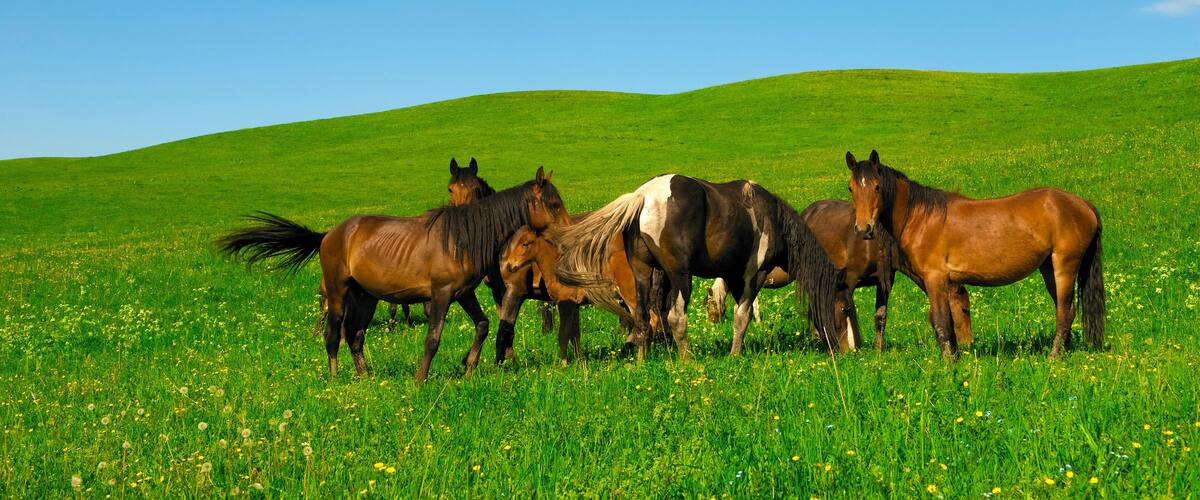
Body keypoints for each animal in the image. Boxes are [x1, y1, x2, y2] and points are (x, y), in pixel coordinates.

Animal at [219, 167, 569, 382]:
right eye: (553, 203)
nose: (568, 232)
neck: (463, 237)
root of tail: (329, 234)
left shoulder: (464, 294)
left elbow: (483, 325)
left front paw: (468, 368)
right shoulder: (440, 295)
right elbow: (433, 337)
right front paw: (420, 378)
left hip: (365, 297)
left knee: (355, 335)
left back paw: (365, 376)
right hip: (337, 292)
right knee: (333, 333)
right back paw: (334, 377)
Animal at [554, 175, 844, 359]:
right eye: (844, 309)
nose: (846, 349)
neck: (770, 216)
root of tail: (642, 196)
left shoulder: (730, 276)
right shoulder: (752, 275)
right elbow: (743, 316)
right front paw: (734, 356)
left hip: (642, 273)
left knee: (643, 318)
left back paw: (640, 362)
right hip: (680, 276)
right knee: (675, 317)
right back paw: (687, 360)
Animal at [845, 150, 1104, 358]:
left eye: (877, 186)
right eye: (851, 188)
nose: (863, 228)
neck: (921, 218)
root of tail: (1084, 204)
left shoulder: (935, 278)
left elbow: (940, 321)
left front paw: (948, 364)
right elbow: (947, 321)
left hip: (1064, 267)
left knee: (1064, 313)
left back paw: (1054, 356)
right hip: (1048, 268)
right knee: (1067, 310)